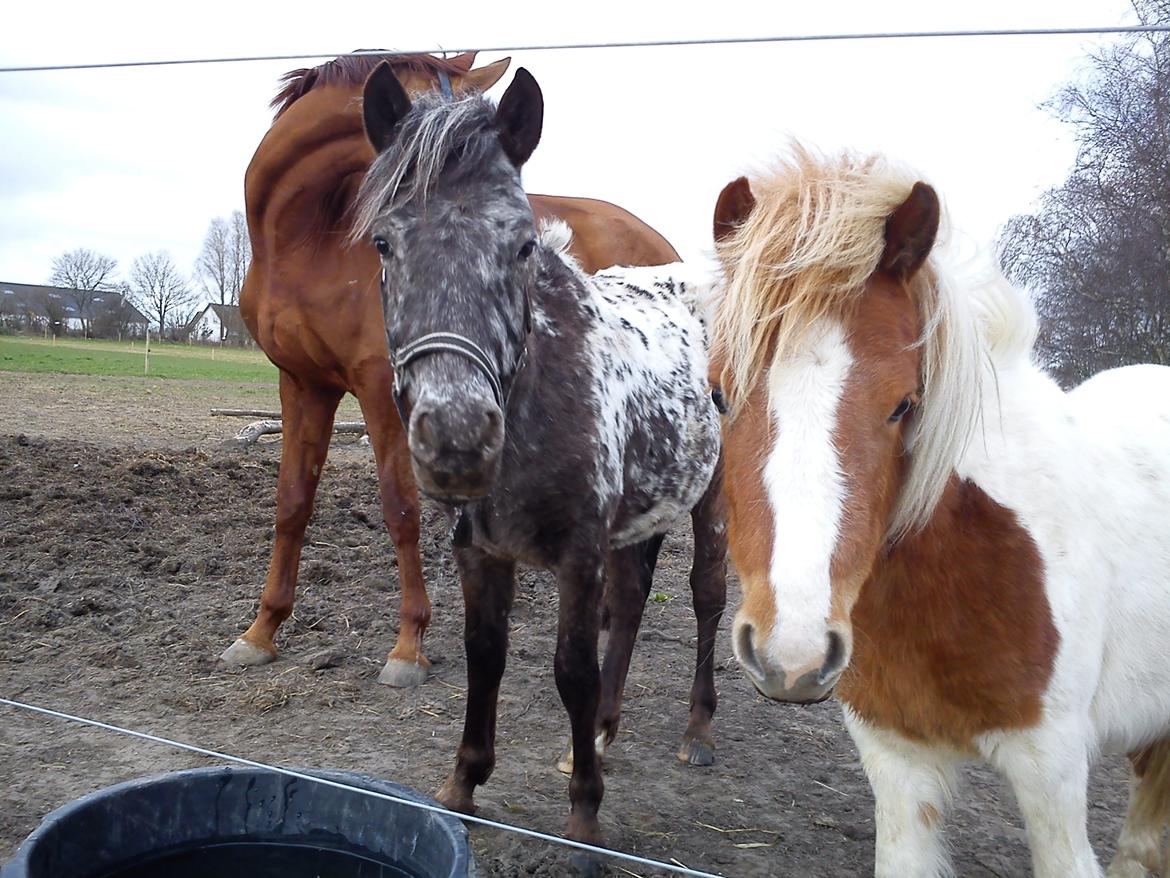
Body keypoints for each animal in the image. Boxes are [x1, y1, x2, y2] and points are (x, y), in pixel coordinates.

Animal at [219, 53, 683, 693]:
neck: (307, 243)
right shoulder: (302, 383)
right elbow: (291, 503)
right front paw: (261, 630)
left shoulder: (383, 393)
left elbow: (401, 510)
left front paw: (408, 645)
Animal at [351, 67, 725, 852]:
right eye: (383, 243)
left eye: (523, 245)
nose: (457, 438)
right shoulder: (480, 550)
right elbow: (484, 655)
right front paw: (464, 782)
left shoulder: (579, 553)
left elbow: (570, 670)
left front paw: (584, 812)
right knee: (634, 601)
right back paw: (606, 730)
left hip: (715, 497)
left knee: (707, 595)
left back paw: (697, 730)